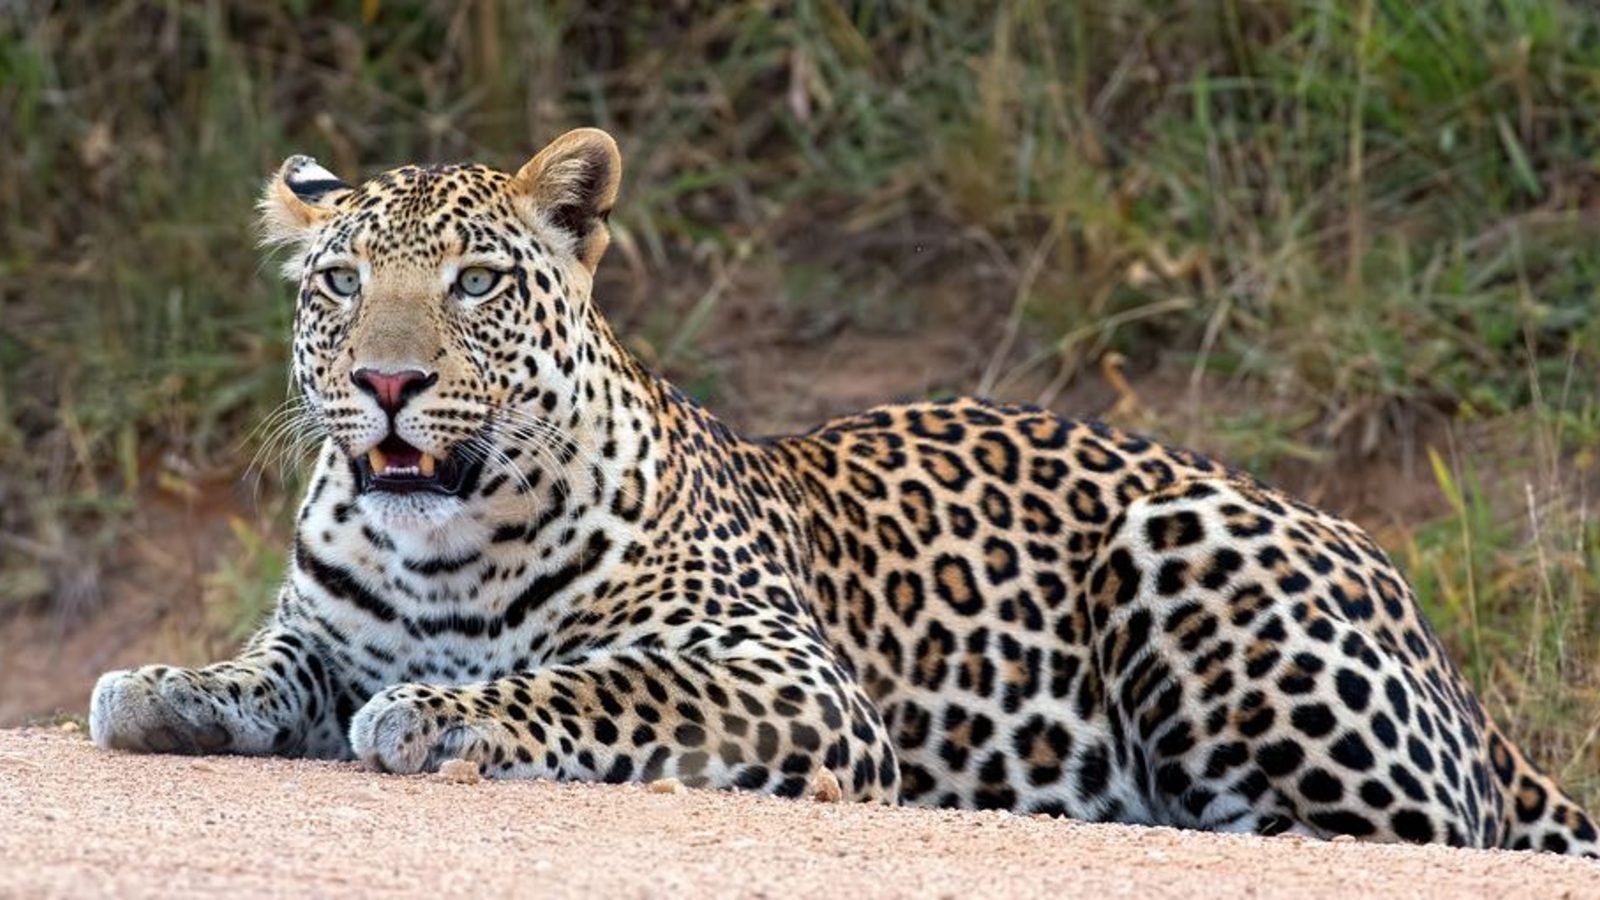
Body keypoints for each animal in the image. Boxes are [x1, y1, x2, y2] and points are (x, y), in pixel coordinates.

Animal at [89, 128, 1598, 858]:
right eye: (341, 282)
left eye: (474, 283)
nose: (388, 382)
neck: (440, 548)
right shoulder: (322, 626)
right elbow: (269, 666)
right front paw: (165, 687)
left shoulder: (780, 675)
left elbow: (586, 681)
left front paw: (443, 713)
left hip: (1198, 561)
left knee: (1420, 831)